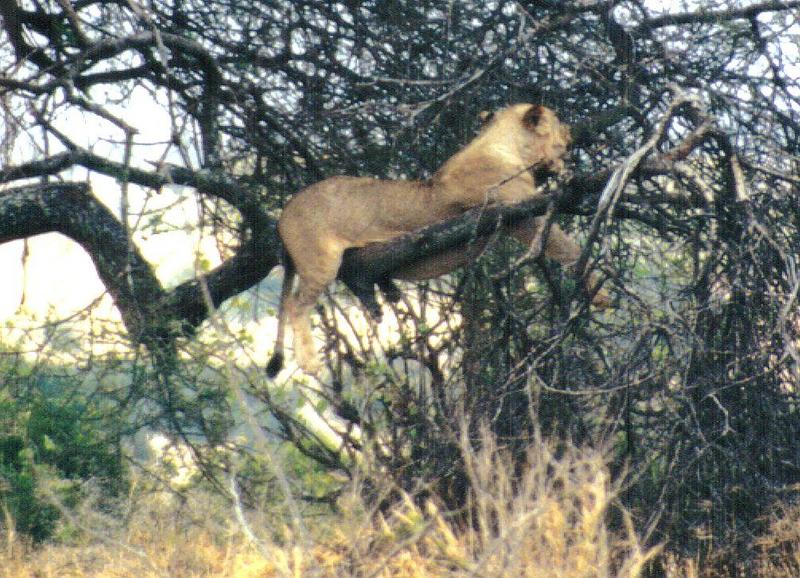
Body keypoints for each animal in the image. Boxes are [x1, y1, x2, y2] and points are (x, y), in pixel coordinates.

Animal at [268, 102, 608, 374]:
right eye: (558, 121)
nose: (571, 131)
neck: (506, 148)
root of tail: (284, 212)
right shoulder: (520, 213)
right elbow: (565, 245)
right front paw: (599, 292)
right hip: (319, 261)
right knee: (297, 305)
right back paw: (309, 361)